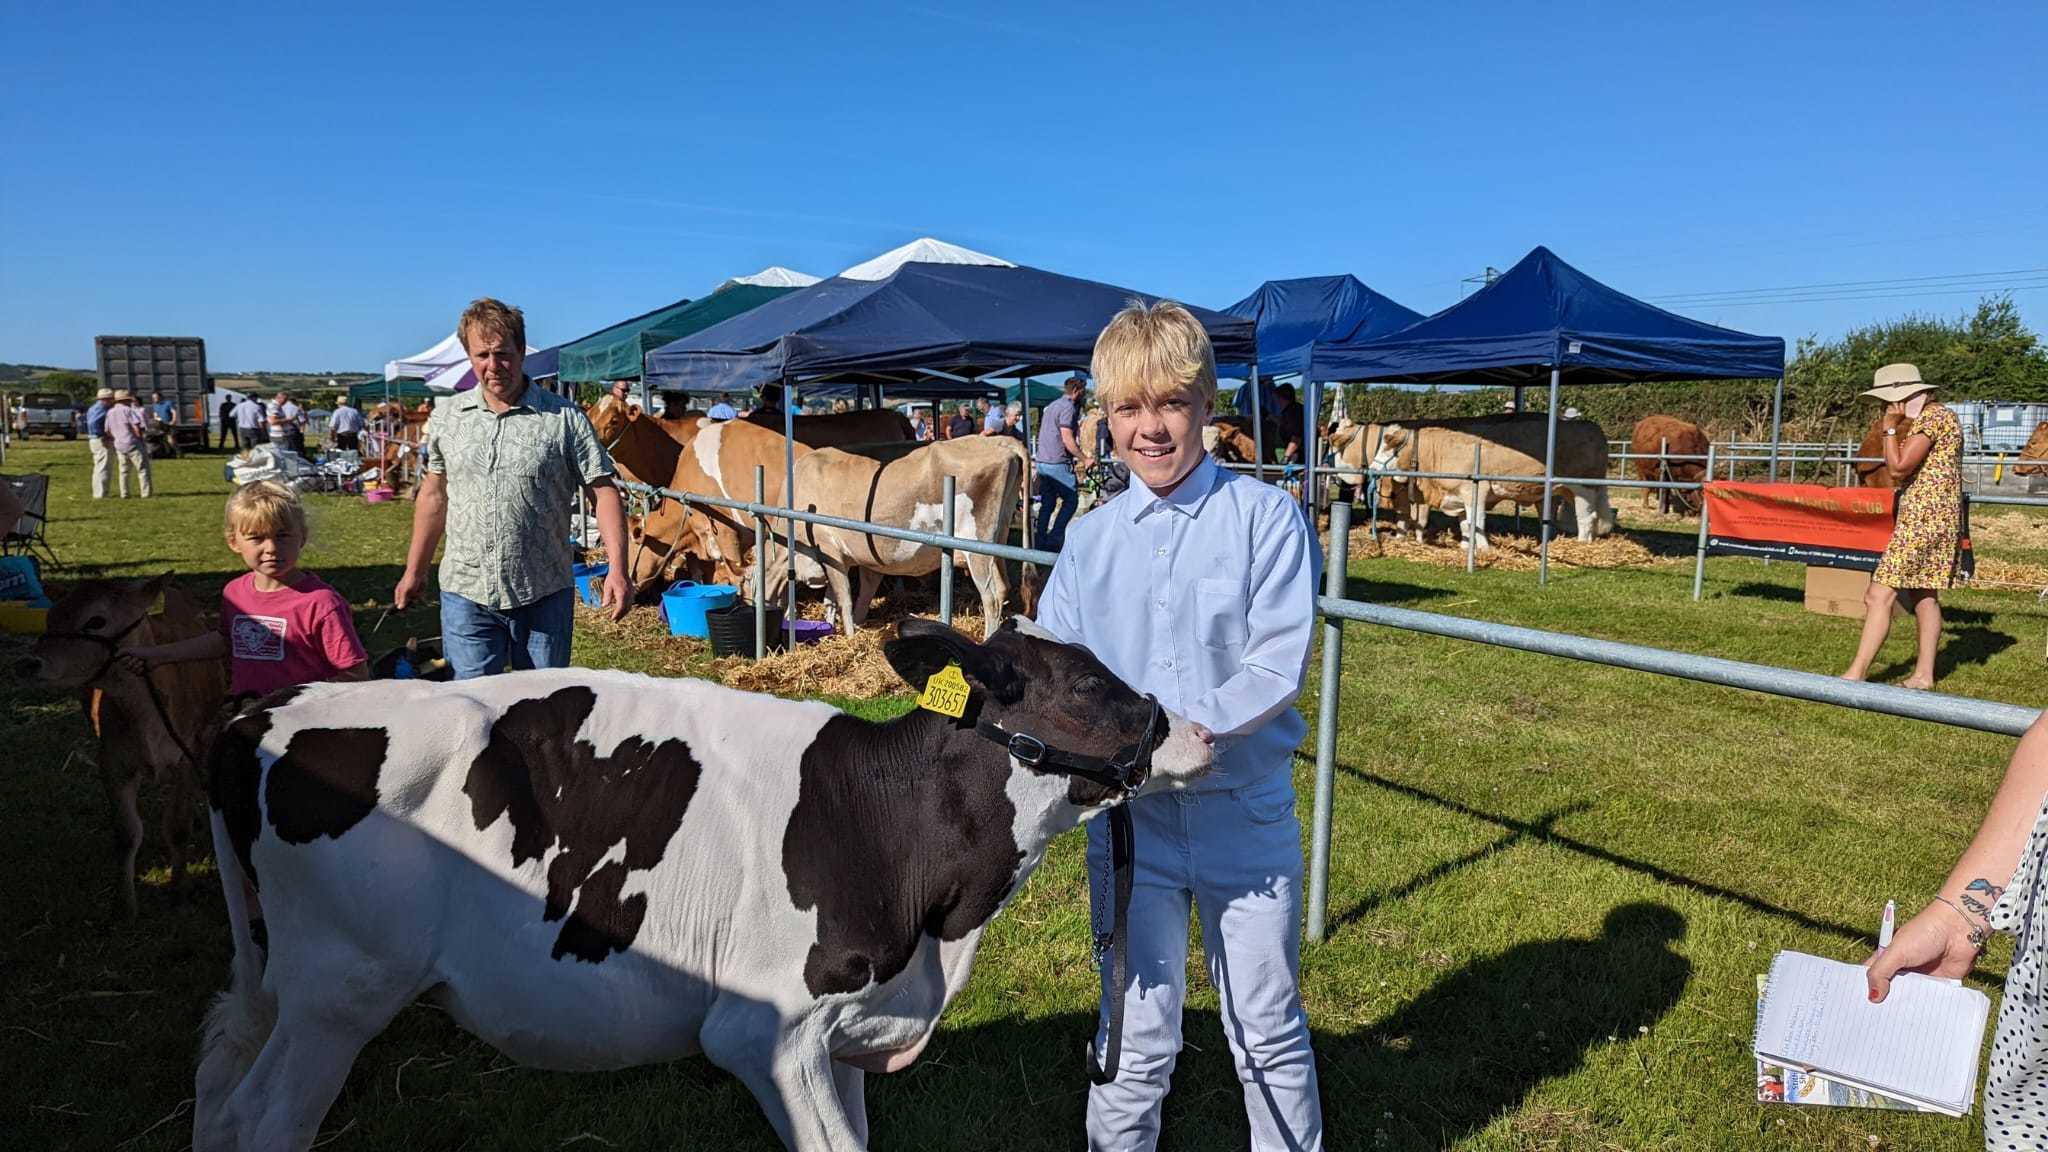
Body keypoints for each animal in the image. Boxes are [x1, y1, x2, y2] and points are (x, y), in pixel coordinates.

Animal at [16, 573, 226, 914]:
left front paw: (179, 890)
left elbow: (178, 826)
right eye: (50, 616)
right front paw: (125, 905)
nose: (26, 664)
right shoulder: (112, 760)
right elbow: (127, 834)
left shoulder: (186, 753)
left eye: (96, 621)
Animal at [192, 619, 1204, 1147]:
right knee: (265, 1119)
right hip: (340, 991)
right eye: (1084, 685)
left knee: (218, 1091)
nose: (1188, 729)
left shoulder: (845, 1036)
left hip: (277, 980)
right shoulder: (769, 1031)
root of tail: (256, 714)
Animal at [749, 434, 1032, 639]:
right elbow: (845, 596)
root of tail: (995, 440)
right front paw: (843, 626)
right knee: (1003, 588)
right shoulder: (858, 558)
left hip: (975, 544)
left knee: (991, 597)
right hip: (998, 540)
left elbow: (844, 598)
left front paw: (850, 636)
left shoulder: (828, 548)